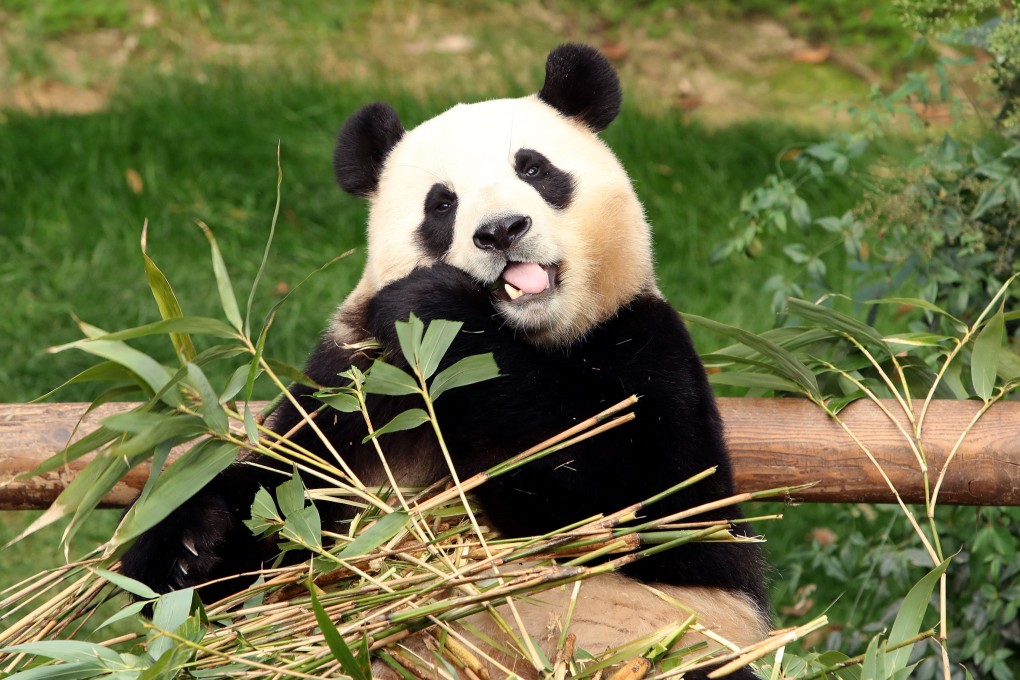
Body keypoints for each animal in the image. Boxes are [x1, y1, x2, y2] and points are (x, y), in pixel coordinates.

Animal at [121, 44, 769, 678]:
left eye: (533, 169)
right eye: (442, 204)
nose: (502, 231)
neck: (530, 335)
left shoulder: (645, 342)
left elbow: (646, 502)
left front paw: (435, 307)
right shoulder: (352, 386)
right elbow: (286, 486)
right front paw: (187, 552)